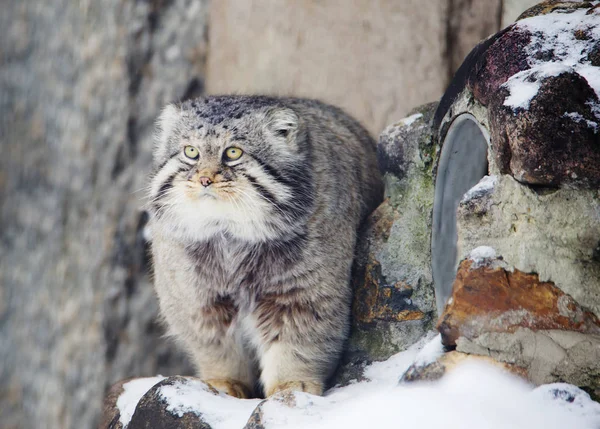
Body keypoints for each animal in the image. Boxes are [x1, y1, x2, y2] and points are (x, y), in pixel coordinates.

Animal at [147, 95, 382, 396]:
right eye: (191, 151)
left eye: (233, 152)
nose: (204, 179)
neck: (230, 236)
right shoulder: (198, 299)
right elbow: (218, 349)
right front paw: (225, 382)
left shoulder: (302, 294)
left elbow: (297, 344)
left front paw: (291, 385)